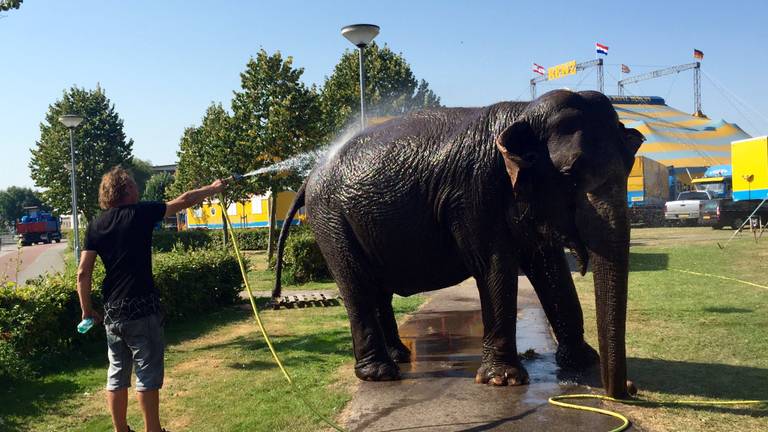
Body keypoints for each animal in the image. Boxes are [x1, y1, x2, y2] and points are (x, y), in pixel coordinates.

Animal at [270, 89, 640, 396]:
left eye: (630, 165)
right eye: (570, 175)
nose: (627, 389)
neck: (522, 111)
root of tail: (309, 176)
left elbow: (549, 267)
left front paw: (583, 363)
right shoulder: (473, 191)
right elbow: (494, 264)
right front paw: (503, 381)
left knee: (378, 290)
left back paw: (398, 356)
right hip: (330, 220)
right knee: (357, 285)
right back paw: (379, 374)